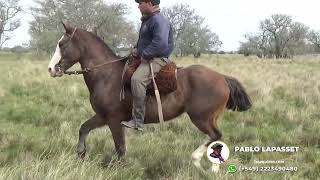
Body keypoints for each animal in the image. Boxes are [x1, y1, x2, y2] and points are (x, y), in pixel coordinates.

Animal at [48, 22, 252, 173]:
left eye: (61, 44)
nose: (51, 69)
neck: (107, 75)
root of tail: (222, 78)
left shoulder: (114, 120)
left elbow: (120, 148)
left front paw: (120, 169)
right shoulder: (102, 117)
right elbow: (84, 128)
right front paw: (81, 154)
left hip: (201, 118)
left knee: (215, 136)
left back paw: (196, 159)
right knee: (217, 139)